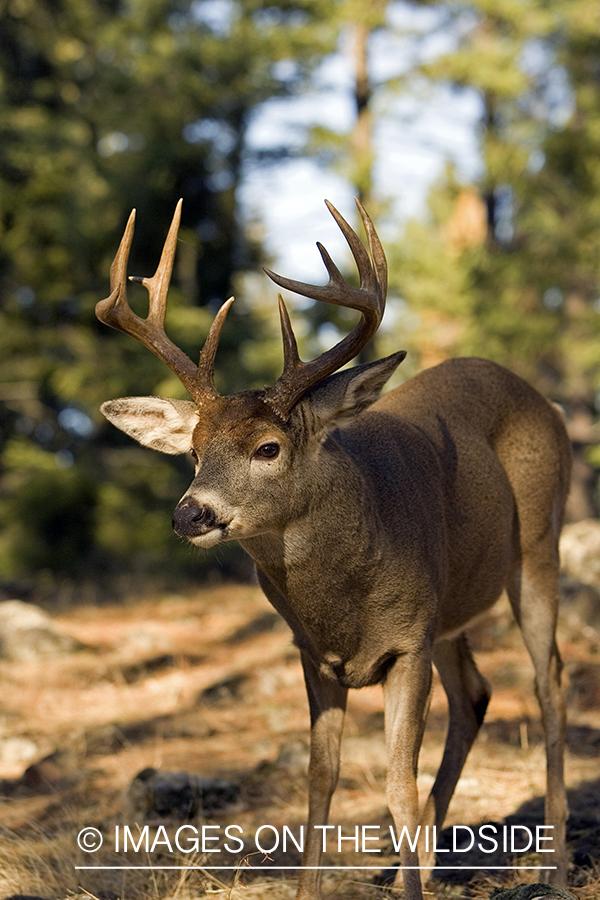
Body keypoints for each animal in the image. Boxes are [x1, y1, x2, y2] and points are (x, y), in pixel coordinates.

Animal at [97, 202, 572, 900]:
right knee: (477, 694)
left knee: (549, 683)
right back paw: (417, 864)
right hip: (451, 607)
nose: (190, 514)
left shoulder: (407, 643)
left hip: (539, 547)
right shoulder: (315, 653)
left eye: (267, 448)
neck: (345, 601)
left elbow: (397, 785)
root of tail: (545, 400)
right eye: (194, 451)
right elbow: (322, 778)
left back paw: (553, 865)